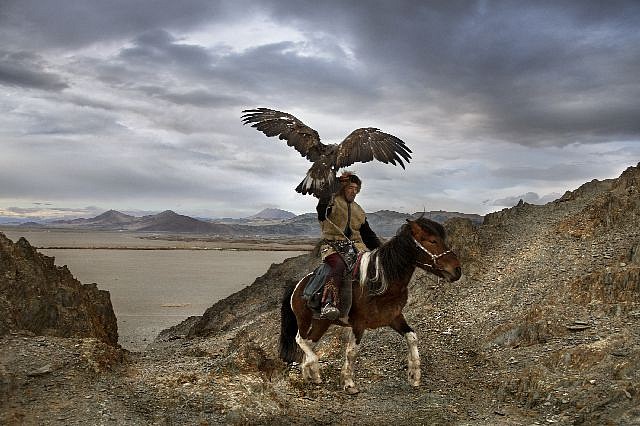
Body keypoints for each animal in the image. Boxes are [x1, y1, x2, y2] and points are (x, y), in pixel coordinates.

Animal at [278, 218, 460, 394]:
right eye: (432, 240)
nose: (457, 271)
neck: (380, 282)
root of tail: (298, 284)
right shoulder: (359, 323)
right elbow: (352, 352)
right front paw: (349, 383)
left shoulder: (394, 317)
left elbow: (412, 337)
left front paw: (414, 375)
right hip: (304, 319)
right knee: (300, 339)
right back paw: (312, 366)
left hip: (322, 322)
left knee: (310, 342)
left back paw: (311, 375)